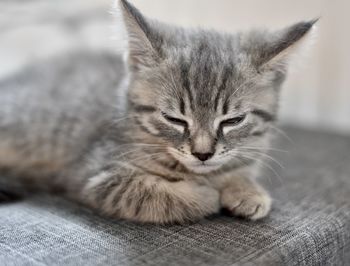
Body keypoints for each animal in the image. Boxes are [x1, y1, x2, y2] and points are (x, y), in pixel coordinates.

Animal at [0, 0, 316, 223]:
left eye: (234, 120)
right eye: (173, 119)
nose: (203, 154)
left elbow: (236, 167)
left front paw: (246, 189)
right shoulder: (97, 176)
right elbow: (155, 195)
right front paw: (206, 193)